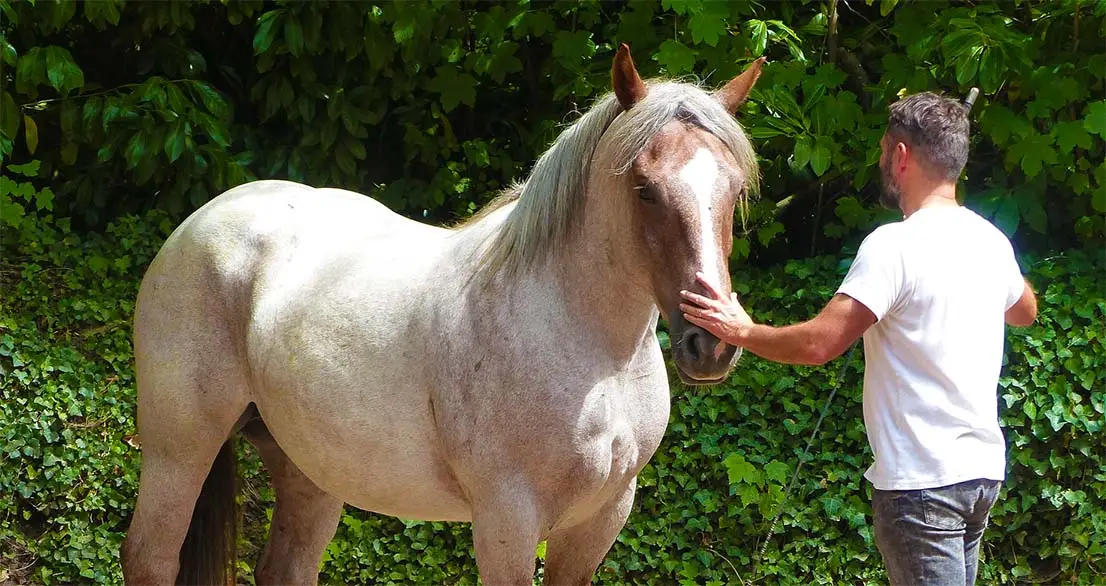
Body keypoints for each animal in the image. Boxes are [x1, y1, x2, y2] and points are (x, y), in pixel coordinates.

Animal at [121, 45, 764, 585]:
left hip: (310, 468)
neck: (589, 349)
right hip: (180, 451)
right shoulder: (507, 519)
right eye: (644, 189)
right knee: (149, 557)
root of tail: (204, 220)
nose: (710, 342)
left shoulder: (601, 517)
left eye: (733, 191)